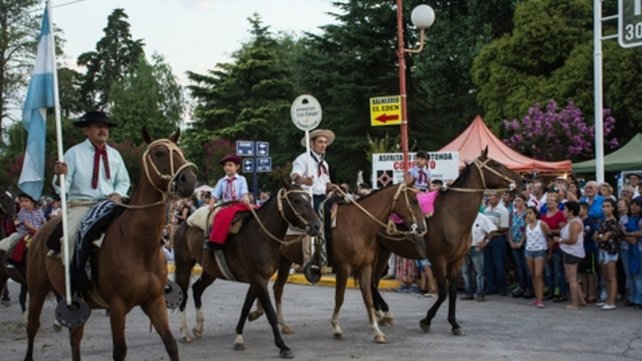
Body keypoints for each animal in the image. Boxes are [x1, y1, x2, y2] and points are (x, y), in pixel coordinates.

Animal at [23, 129, 196, 360]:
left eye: (181, 151)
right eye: (159, 153)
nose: (189, 180)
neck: (138, 245)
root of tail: (39, 233)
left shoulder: (154, 301)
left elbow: (170, 343)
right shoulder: (117, 305)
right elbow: (119, 350)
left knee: (75, 338)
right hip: (37, 290)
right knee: (32, 327)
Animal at [172, 181, 320, 358]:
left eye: (309, 199)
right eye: (296, 200)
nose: (316, 226)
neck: (261, 236)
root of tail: (183, 224)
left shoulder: (257, 280)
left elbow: (245, 307)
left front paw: (239, 338)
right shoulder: (258, 279)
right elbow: (270, 312)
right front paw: (283, 346)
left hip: (210, 271)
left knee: (197, 289)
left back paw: (198, 328)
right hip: (183, 266)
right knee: (183, 293)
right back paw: (184, 333)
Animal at [376, 146, 520, 334]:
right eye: (496, 164)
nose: (521, 179)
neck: (453, 214)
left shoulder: (457, 260)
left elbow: (452, 292)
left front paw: (454, 323)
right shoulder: (439, 260)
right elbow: (443, 292)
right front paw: (426, 320)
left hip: (383, 251)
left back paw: (381, 313)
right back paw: (383, 312)